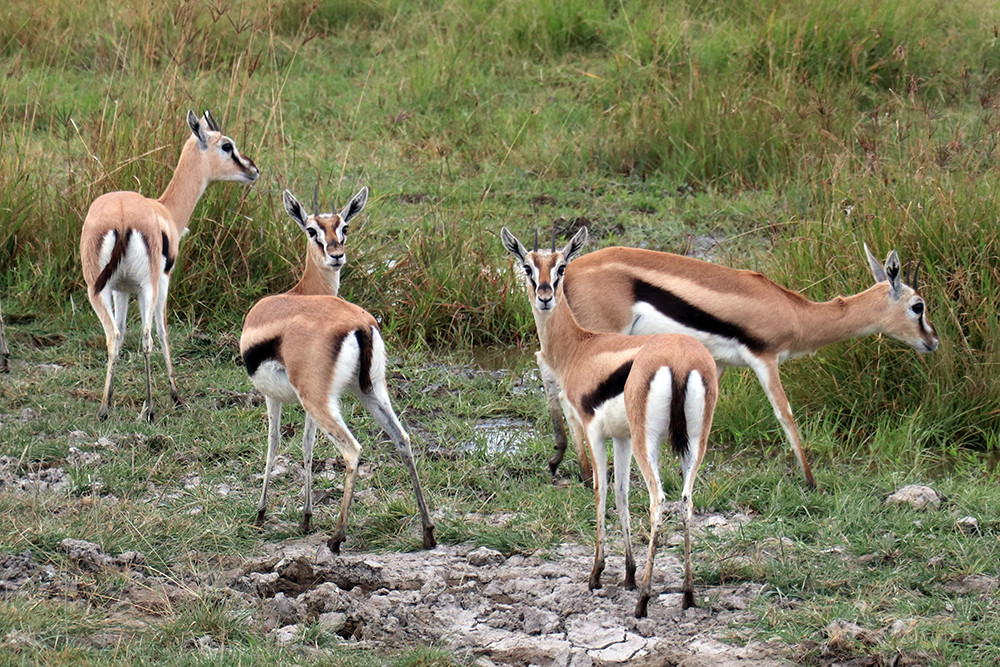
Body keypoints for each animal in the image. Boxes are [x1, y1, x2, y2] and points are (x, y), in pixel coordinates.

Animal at [80, 109, 259, 421]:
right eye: (227, 146)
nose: (253, 169)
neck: (164, 210)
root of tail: (122, 217)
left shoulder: (121, 289)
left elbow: (122, 332)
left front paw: (111, 399)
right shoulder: (163, 280)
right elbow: (163, 331)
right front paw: (176, 396)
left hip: (96, 289)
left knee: (113, 335)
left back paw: (103, 408)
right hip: (147, 287)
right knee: (147, 337)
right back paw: (150, 407)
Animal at [240, 187, 436, 553]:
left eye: (344, 226)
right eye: (312, 229)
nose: (336, 255)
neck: (297, 294)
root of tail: (359, 324)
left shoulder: (275, 397)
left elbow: (273, 446)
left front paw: (260, 514)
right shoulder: (302, 403)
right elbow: (306, 447)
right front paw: (305, 517)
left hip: (321, 401)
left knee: (352, 451)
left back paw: (336, 537)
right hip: (370, 391)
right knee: (402, 439)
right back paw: (428, 532)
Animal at [502, 226, 718, 618]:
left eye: (561, 267)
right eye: (527, 266)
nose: (545, 296)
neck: (581, 348)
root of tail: (681, 357)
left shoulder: (593, 430)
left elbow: (600, 490)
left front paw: (597, 574)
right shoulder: (622, 437)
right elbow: (621, 493)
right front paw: (628, 574)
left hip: (650, 444)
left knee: (659, 500)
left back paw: (644, 600)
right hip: (694, 443)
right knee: (686, 500)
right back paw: (687, 594)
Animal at [545, 243, 939, 489]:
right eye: (917, 306)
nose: (933, 341)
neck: (795, 312)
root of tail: (568, 270)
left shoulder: (718, 364)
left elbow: (703, 418)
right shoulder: (765, 360)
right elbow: (786, 414)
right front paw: (811, 480)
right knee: (567, 394)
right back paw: (585, 472)